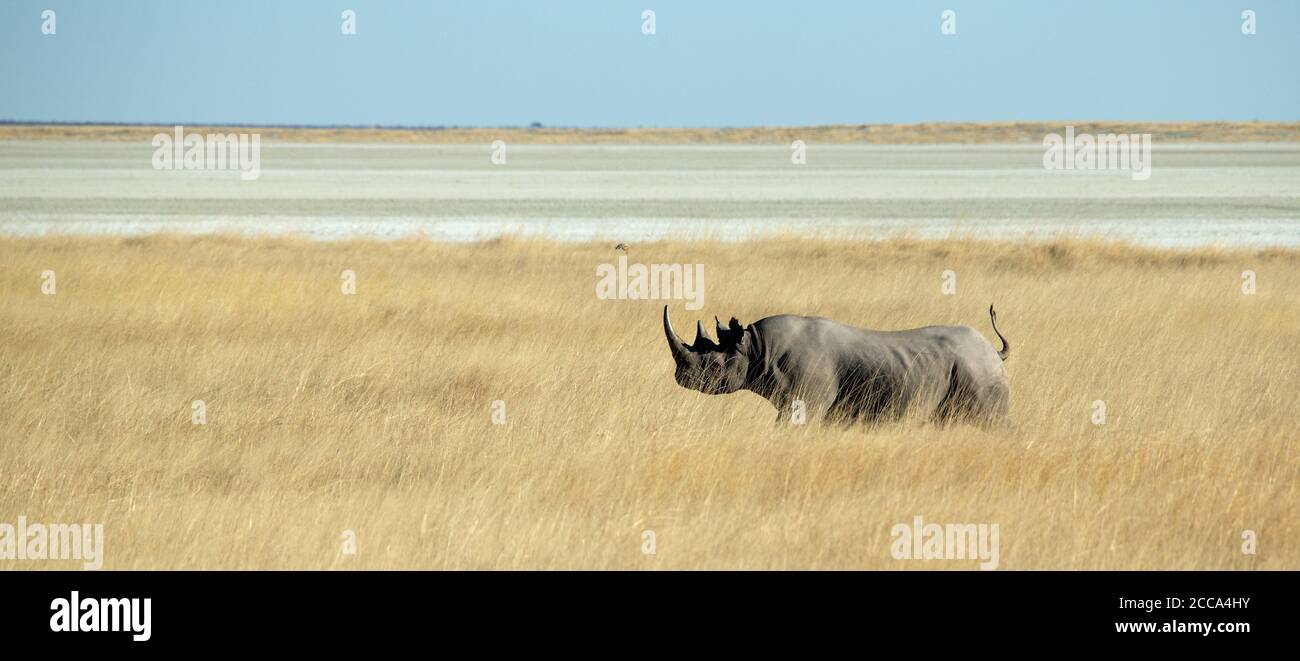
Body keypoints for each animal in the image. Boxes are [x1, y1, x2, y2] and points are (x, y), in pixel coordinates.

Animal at [665, 305, 1008, 426]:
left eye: (713, 366)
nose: (681, 377)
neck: (756, 347)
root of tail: (992, 351)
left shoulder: (805, 401)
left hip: (977, 370)